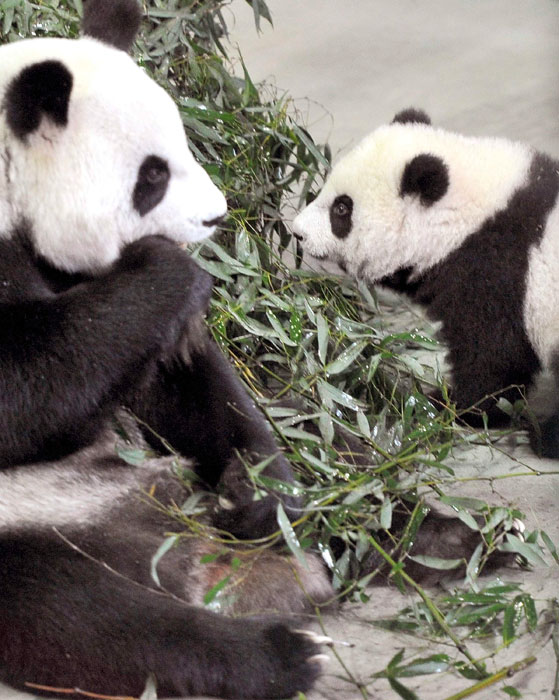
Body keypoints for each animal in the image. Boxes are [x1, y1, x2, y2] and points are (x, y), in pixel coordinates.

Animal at [0, 0, 335, 697]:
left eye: (185, 142)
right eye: (151, 176)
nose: (216, 218)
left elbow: (173, 378)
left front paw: (261, 496)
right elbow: (24, 386)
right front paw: (172, 269)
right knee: (83, 617)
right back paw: (276, 655)